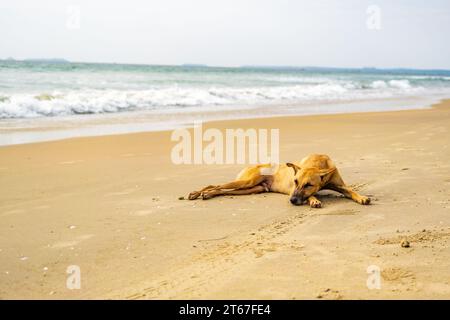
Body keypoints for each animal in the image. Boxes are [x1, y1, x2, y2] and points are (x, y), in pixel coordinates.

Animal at [188, 154, 370, 209]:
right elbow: (311, 196)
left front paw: (361, 197)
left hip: (254, 189)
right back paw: (199, 193)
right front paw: (314, 200)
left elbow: (351, 191)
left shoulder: (340, 185)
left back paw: (207, 194)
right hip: (247, 182)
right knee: (216, 185)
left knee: (222, 189)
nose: (292, 201)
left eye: (308, 185)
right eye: (295, 181)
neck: (319, 163)